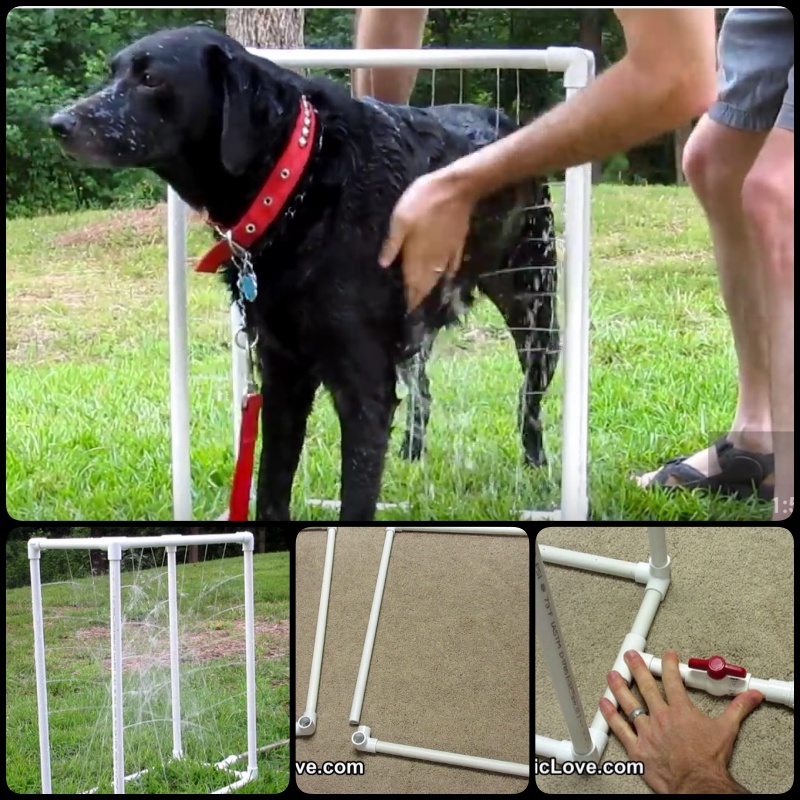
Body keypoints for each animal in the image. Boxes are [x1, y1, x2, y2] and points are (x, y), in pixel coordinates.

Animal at [50, 25, 560, 520]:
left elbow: (355, 501)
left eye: (151, 78)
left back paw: (538, 470)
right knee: (426, 393)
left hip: (537, 316)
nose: (58, 123)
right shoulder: (281, 373)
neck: (299, 181)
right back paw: (412, 455)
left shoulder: (363, 387)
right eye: (112, 72)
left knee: (528, 404)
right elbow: (270, 488)